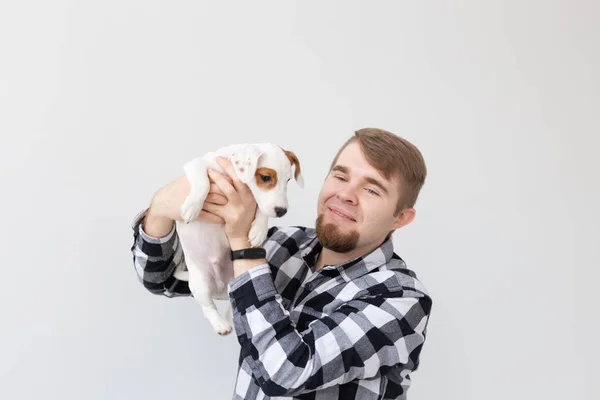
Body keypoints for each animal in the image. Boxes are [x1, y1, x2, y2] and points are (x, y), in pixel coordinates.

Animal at [173, 142, 304, 336]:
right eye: (265, 177)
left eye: (288, 180)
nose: (282, 211)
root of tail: (220, 289)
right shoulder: (197, 164)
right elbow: (202, 182)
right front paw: (193, 206)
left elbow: (261, 210)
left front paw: (259, 229)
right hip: (200, 284)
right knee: (208, 307)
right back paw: (220, 324)